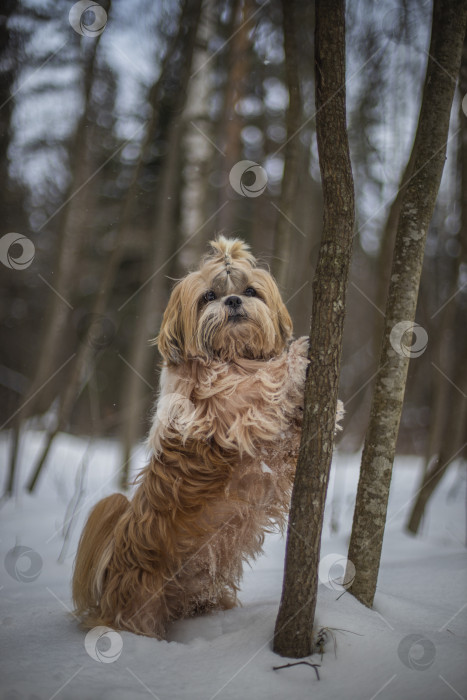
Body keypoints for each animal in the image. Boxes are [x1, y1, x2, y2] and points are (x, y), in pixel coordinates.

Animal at [72, 238, 344, 636]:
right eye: (209, 296)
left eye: (250, 291)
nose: (232, 301)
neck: (232, 356)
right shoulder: (225, 410)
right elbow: (259, 385)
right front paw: (295, 359)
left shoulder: (276, 452)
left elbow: (290, 440)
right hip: (142, 606)